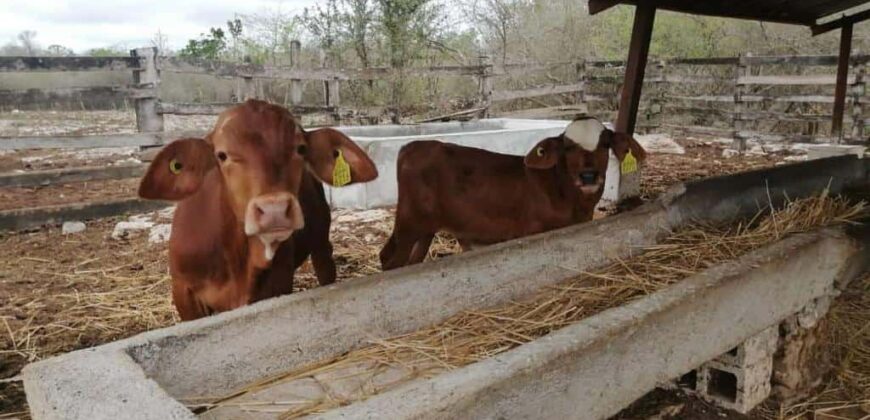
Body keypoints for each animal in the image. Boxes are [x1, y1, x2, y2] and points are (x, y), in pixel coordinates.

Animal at [140, 100, 378, 320]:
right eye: (221, 155)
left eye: (301, 149)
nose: (275, 210)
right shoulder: (184, 292)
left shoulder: (280, 282)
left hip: (321, 239)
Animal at [382, 116, 648, 270]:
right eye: (568, 147)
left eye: (605, 144)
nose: (589, 176)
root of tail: (412, 146)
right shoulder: (531, 231)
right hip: (408, 223)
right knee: (390, 259)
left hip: (425, 228)